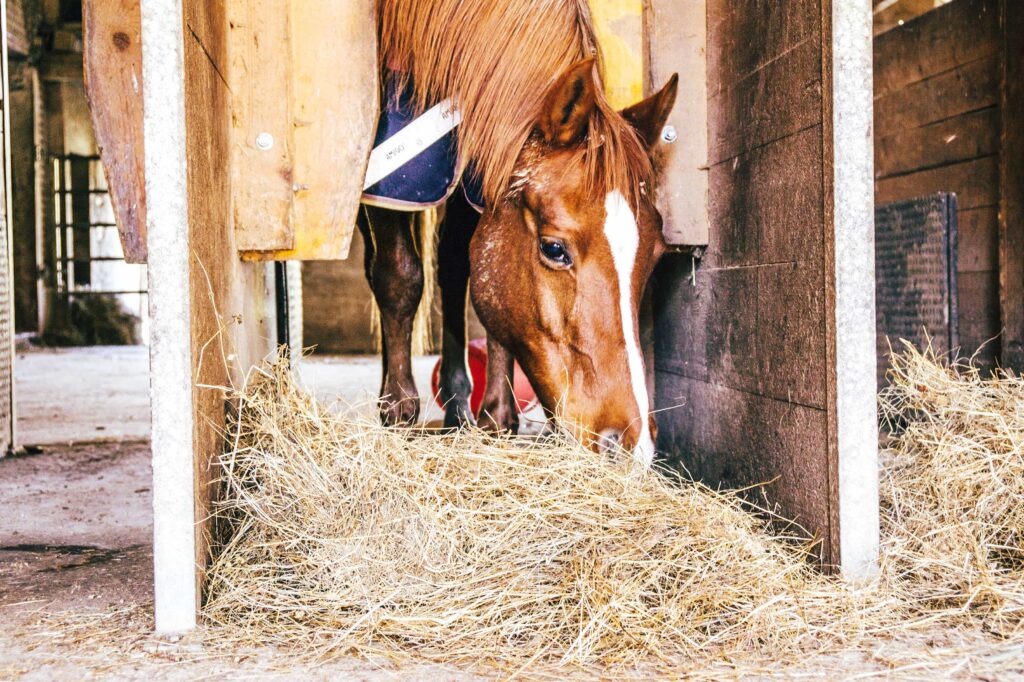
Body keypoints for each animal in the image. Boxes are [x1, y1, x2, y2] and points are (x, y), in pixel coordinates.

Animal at [358, 0, 678, 466]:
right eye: (554, 248)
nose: (633, 445)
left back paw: (458, 403)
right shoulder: (390, 179)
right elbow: (399, 278)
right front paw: (399, 411)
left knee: (453, 269)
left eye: (655, 254)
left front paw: (497, 415)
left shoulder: (483, 175)